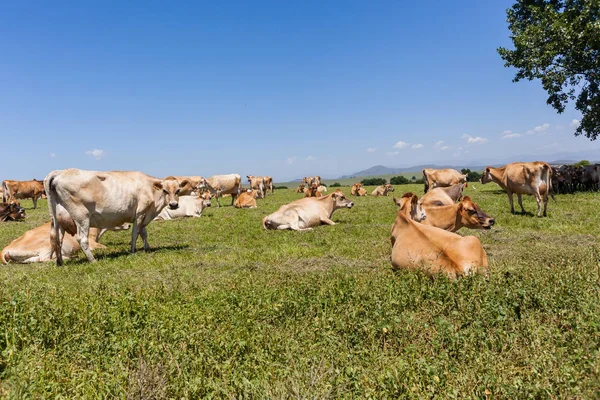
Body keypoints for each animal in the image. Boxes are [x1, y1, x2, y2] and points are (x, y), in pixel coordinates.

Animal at [44, 170, 189, 266]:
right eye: (165, 190)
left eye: (178, 190)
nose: (173, 204)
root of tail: (60, 172)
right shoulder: (140, 214)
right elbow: (135, 233)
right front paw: (133, 251)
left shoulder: (144, 216)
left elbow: (144, 233)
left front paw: (147, 248)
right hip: (81, 216)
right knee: (82, 239)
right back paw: (93, 260)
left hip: (57, 219)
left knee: (56, 238)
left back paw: (59, 262)